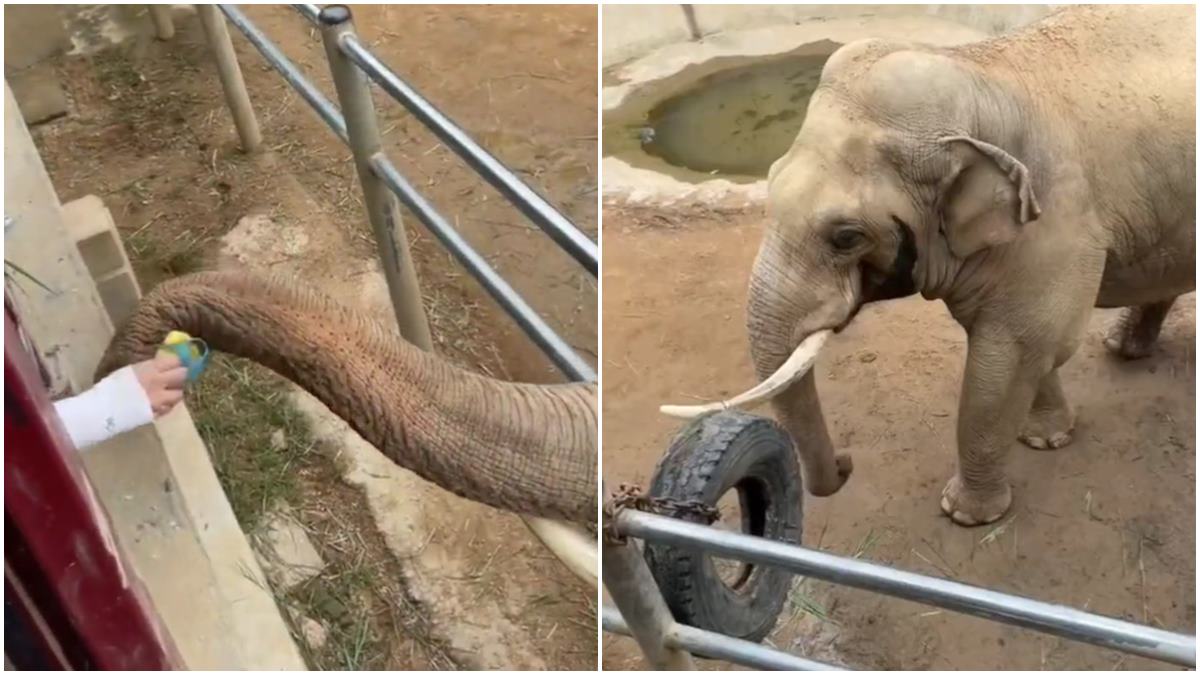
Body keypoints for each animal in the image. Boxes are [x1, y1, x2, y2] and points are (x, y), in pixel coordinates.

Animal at [665, 6, 1195, 526]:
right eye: (769, 182)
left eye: (846, 236)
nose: (846, 462)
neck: (983, 73)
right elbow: (1033, 349)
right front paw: (1046, 439)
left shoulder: (1058, 217)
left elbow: (1014, 352)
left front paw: (966, 514)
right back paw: (1122, 348)